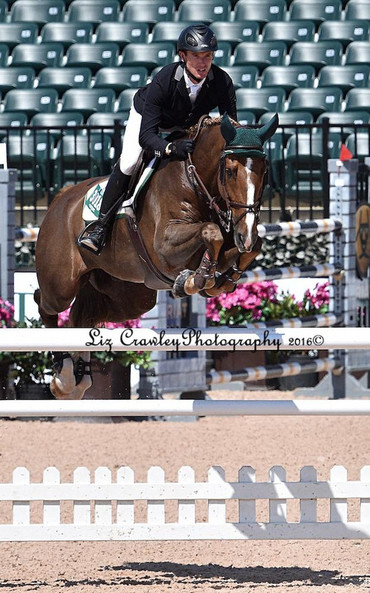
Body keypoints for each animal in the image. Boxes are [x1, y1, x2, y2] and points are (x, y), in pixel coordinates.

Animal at [34, 111, 278, 398]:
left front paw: (221, 281)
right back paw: (63, 377)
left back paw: (77, 378)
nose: (245, 233)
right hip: (61, 284)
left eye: (264, 171)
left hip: (130, 295)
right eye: (229, 171)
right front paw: (196, 279)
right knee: (45, 304)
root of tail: (60, 199)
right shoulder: (165, 246)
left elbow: (248, 245)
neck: (193, 180)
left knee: (82, 315)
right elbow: (211, 232)